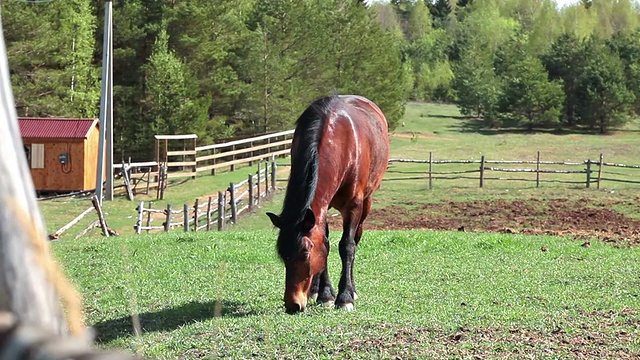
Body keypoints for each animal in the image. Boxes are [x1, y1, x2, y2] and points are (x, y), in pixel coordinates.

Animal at [266, 95, 390, 312]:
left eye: (305, 253)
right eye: (283, 255)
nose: (293, 304)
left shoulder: (353, 206)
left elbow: (347, 246)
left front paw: (345, 296)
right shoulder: (321, 208)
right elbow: (325, 242)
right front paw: (325, 294)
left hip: (366, 203)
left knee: (356, 239)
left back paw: (352, 289)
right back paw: (316, 289)